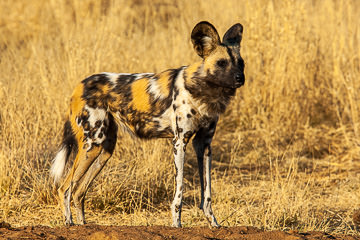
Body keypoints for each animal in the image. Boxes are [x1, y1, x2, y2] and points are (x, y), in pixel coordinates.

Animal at [50, 20, 245, 227]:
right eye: (221, 63)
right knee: (64, 188)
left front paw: (214, 224)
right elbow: (180, 191)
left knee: (79, 191)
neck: (204, 91)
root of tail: (79, 86)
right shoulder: (179, 142)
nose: (240, 78)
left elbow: (207, 194)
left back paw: (82, 225)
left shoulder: (204, 145)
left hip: (104, 149)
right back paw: (69, 223)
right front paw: (177, 225)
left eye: (241, 63)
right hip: (92, 144)